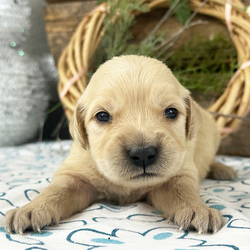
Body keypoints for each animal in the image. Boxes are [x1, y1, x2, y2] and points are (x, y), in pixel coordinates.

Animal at [4, 54, 237, 234]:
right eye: (102, 116)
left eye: (171, 112)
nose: (143, 153)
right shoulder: (75, 173)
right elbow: (56, 190)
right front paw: (31, 209)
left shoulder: (180, 172)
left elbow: (183, 191)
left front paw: (197, 210)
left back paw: (223, 169)